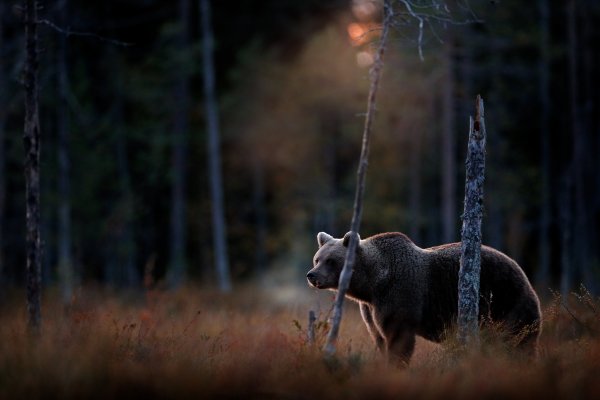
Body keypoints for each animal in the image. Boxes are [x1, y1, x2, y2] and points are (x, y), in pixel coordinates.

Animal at [308, 231, 540, 366]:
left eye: (331, 260)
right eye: (317, 259)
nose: (312, 275)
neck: (372, 283)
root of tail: (521, 270)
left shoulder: (399, 294)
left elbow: (399, 337)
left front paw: (396, 365)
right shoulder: (370, 309)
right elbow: (379, 337)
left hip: (506, 298)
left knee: (518, 339)